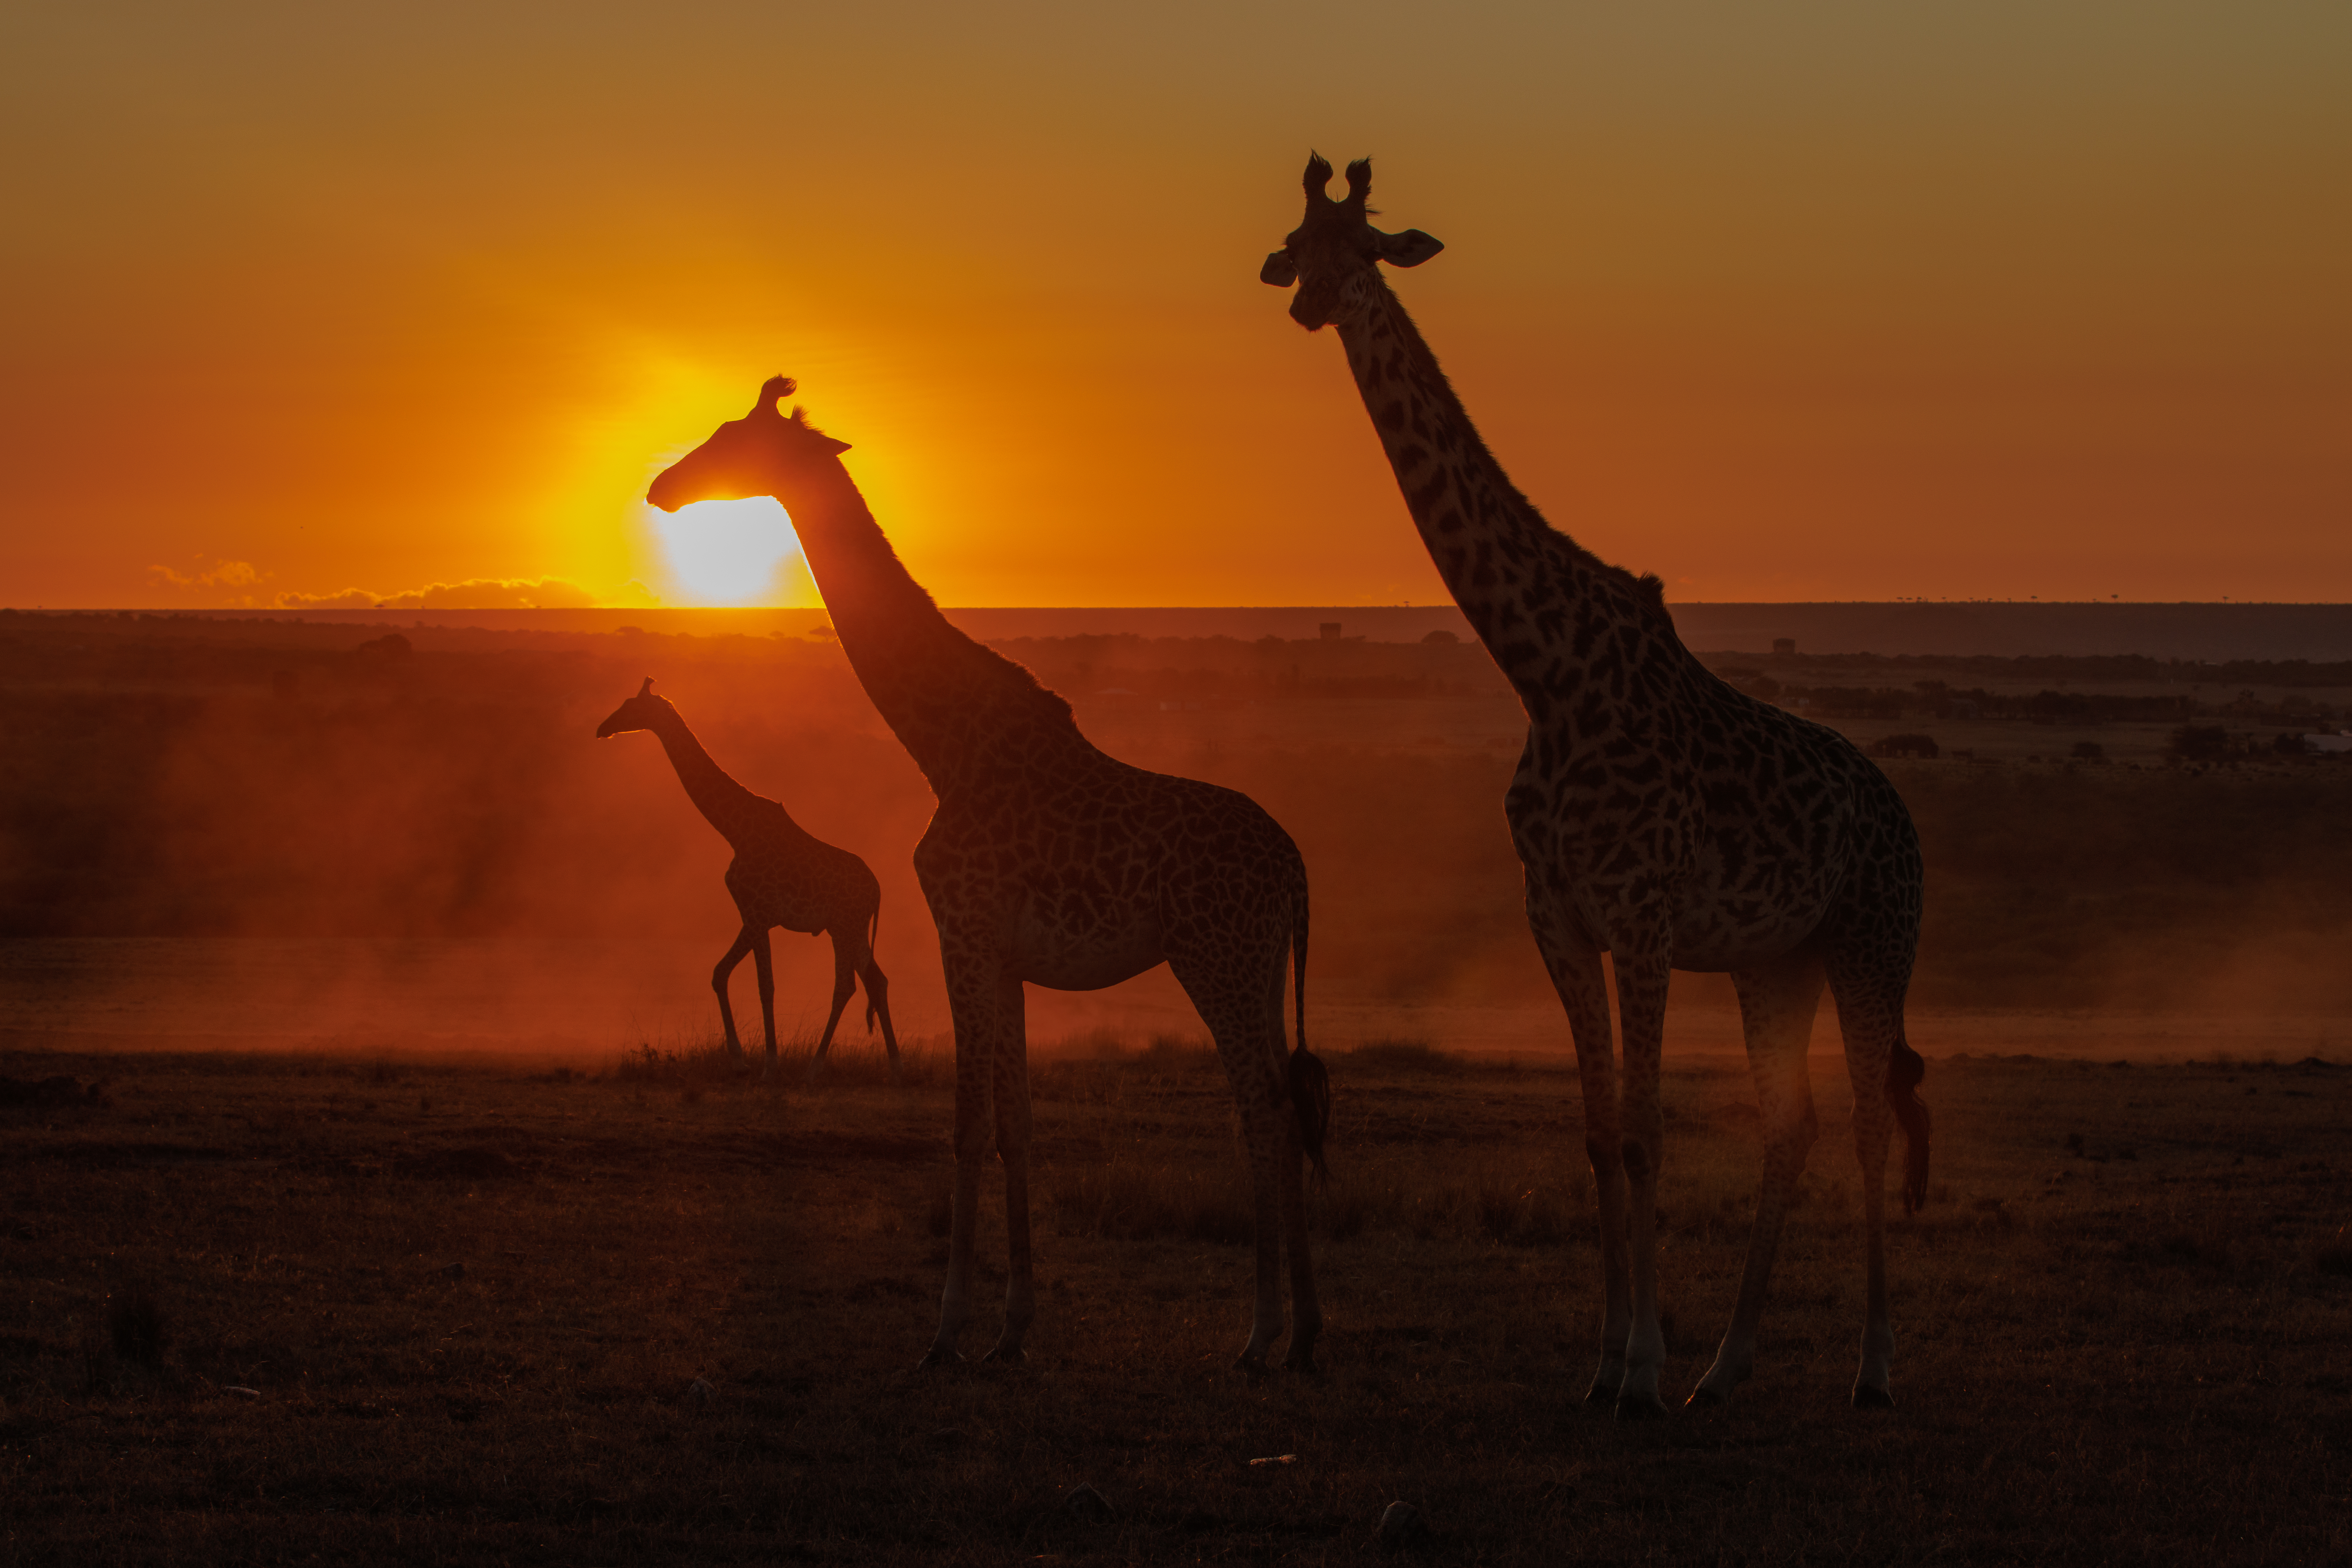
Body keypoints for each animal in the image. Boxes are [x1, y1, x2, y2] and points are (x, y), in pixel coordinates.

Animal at [595, 678, 900, 1084]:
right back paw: (896, 1065)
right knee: (876, 980)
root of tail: (877, 890)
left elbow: (765, 985)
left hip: (843, 925)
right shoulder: (751, 916)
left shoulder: (758, 915)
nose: (603, 728)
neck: (733, 831)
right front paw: (740, 1061)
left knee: (847, 985)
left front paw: (770, 1065)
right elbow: (719, 973)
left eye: (631, 706)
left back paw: (814, 1068)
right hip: (855, 928)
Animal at [646, 382, 1331, 1371]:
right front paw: (1012, 1324)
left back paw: (1262, 1331)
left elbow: (968, 1121)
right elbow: (1015, 1122)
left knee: (1264, 1106)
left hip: (1217, 960)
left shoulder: (959, 933)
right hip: (1265, 963)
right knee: (1291, 1098)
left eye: (735, 438)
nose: (661, 488)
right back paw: (1306, 1327)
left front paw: (944, 1328)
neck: (943, 747)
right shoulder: (1003, 955)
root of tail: (1297, 868)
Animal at [1262, 155, 1930, 1413]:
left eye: (1365, 246)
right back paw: (1728, 1365)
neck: (1548, 672)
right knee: (1795, 1123)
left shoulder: (1645, 919)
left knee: (1872, 1117)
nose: (1309, 302)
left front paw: (1643, 1365)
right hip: (1778, 957)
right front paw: (1611, 1362)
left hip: (1873, 938)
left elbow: (1647, 1129)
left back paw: (1871, 1366)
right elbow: (1596, 1131)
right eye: (1295, 241)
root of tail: (1905, 816)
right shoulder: (1561, 919)